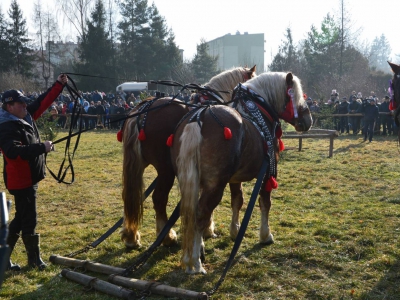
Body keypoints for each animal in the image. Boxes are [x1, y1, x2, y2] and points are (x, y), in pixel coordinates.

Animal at [120, 65, 256, 248]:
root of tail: (142, 111)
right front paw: (209, 229)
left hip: (138, 167)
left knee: (131, 197)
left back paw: (132, 237)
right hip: (166, 170)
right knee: (159, 198)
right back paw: (167, 237)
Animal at [170, 71, 314, 274]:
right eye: (296, 94)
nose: (308, 119)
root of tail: (199, 117)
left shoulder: (234, 178)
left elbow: (237, 201)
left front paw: (235, 231)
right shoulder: (268, 173)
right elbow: (265, 203)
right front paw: (265, 235)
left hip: (189, 180)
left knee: (190, 213)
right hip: (215, 186)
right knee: (200, 214)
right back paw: (195, 262)